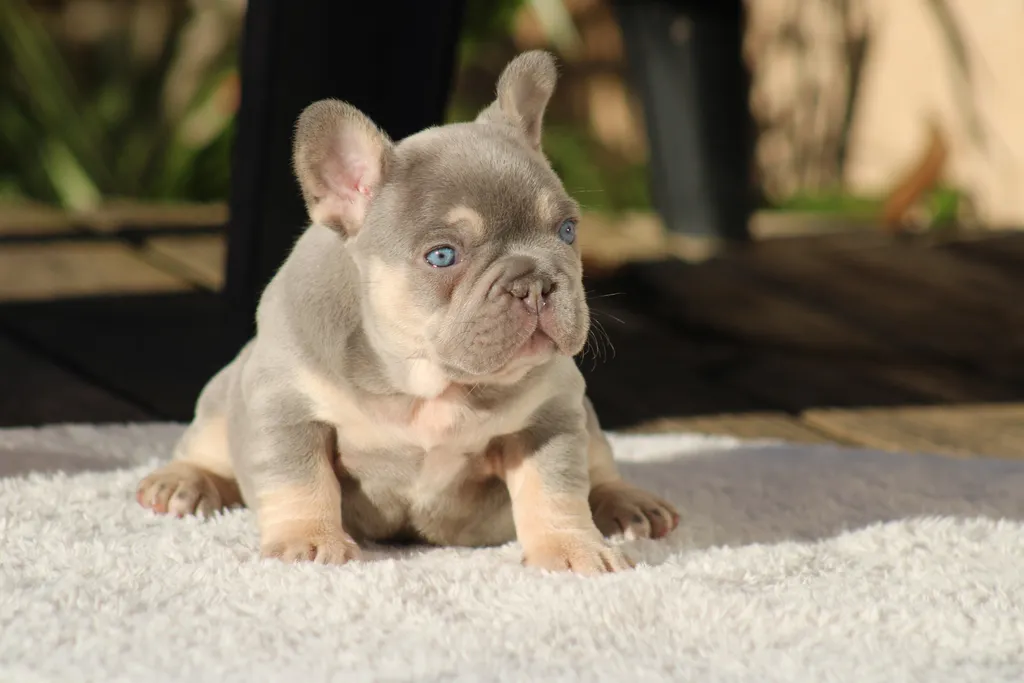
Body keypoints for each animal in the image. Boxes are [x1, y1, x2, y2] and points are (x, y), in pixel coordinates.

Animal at [136, 51, 678, 574]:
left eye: (567, 231)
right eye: (442, 256)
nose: (535, 283)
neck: (425, 378)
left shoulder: (551, 418)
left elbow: (557, 489)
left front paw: (572, 548)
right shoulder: (287, 408)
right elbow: (300, 481)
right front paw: (309, 541)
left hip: (587, 417)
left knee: (599, 466)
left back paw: (629, 504)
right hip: (224, 396)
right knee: (205, 445)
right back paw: (183, 482)